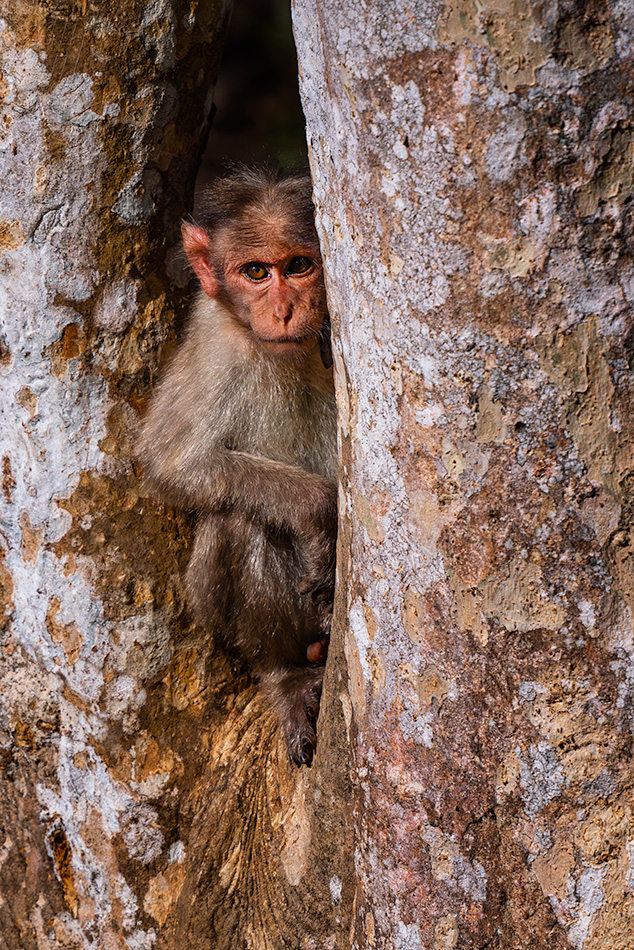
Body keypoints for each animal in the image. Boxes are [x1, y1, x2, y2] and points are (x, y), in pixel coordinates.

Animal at [138, 169, 336, 768]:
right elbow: (173, 462)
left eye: (299, 265)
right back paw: (287, 676)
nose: (285, 312)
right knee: (238, 521)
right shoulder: (214, 343)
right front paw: (317, 509)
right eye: (255, 273)